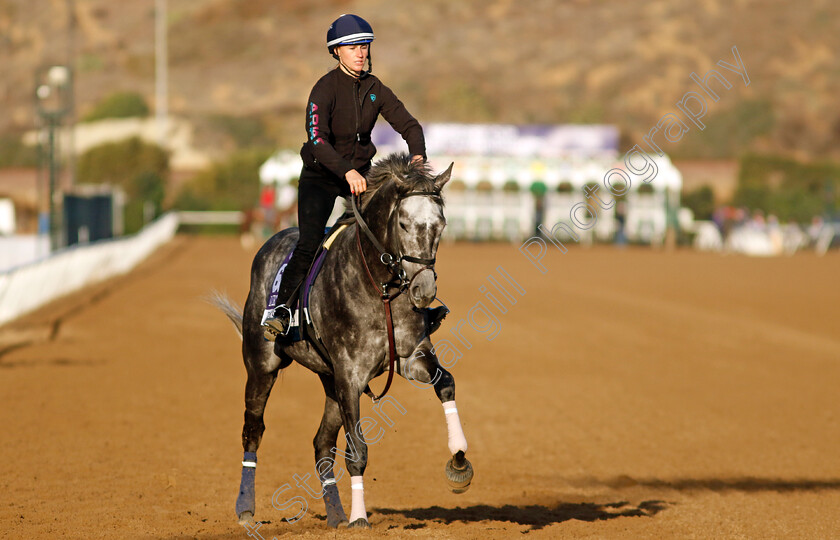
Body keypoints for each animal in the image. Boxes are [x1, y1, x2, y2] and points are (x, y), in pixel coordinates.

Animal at [217, 152, 472, 528]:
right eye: (403, 225)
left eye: (440, 226)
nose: (424, 291)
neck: (380, 287)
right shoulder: (351, 376)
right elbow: (358, 451)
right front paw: (360, 518)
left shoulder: (409, 358)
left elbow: (447, 384)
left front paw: (459, 461)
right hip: (263, 366)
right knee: (254, 429)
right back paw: (246, 509)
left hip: (329, 381)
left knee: (321, 443)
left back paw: (336, 515)